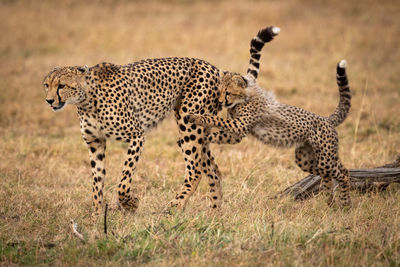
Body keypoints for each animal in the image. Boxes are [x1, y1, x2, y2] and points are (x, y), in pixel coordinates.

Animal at [43, 57, 227, 217]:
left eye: (61, 85)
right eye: (46, 85)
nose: (49, 100)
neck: (87, 100)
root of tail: (212, 67)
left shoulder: (137, 135)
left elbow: (124, 179)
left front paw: (131, 204)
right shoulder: (95, 142)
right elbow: (97, 181)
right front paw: (96, 216)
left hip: (188, 124)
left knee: (195, 171)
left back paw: (176, 205)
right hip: (198, 130)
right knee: (214, 171)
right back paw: (215, 213)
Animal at [186, 26, 352, 207]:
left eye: (228, 92)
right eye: (219, 91)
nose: (221, 101)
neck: (243, 99)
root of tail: (327, 120)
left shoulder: (240, 125)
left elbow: (216, 119)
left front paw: (196, 118)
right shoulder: (236, 132)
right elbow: (217, 133)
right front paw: (203, 138)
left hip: (326, 157)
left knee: (344, 172)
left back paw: (345, 204)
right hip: (306, 159)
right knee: (327, 175)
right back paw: (328, 201)